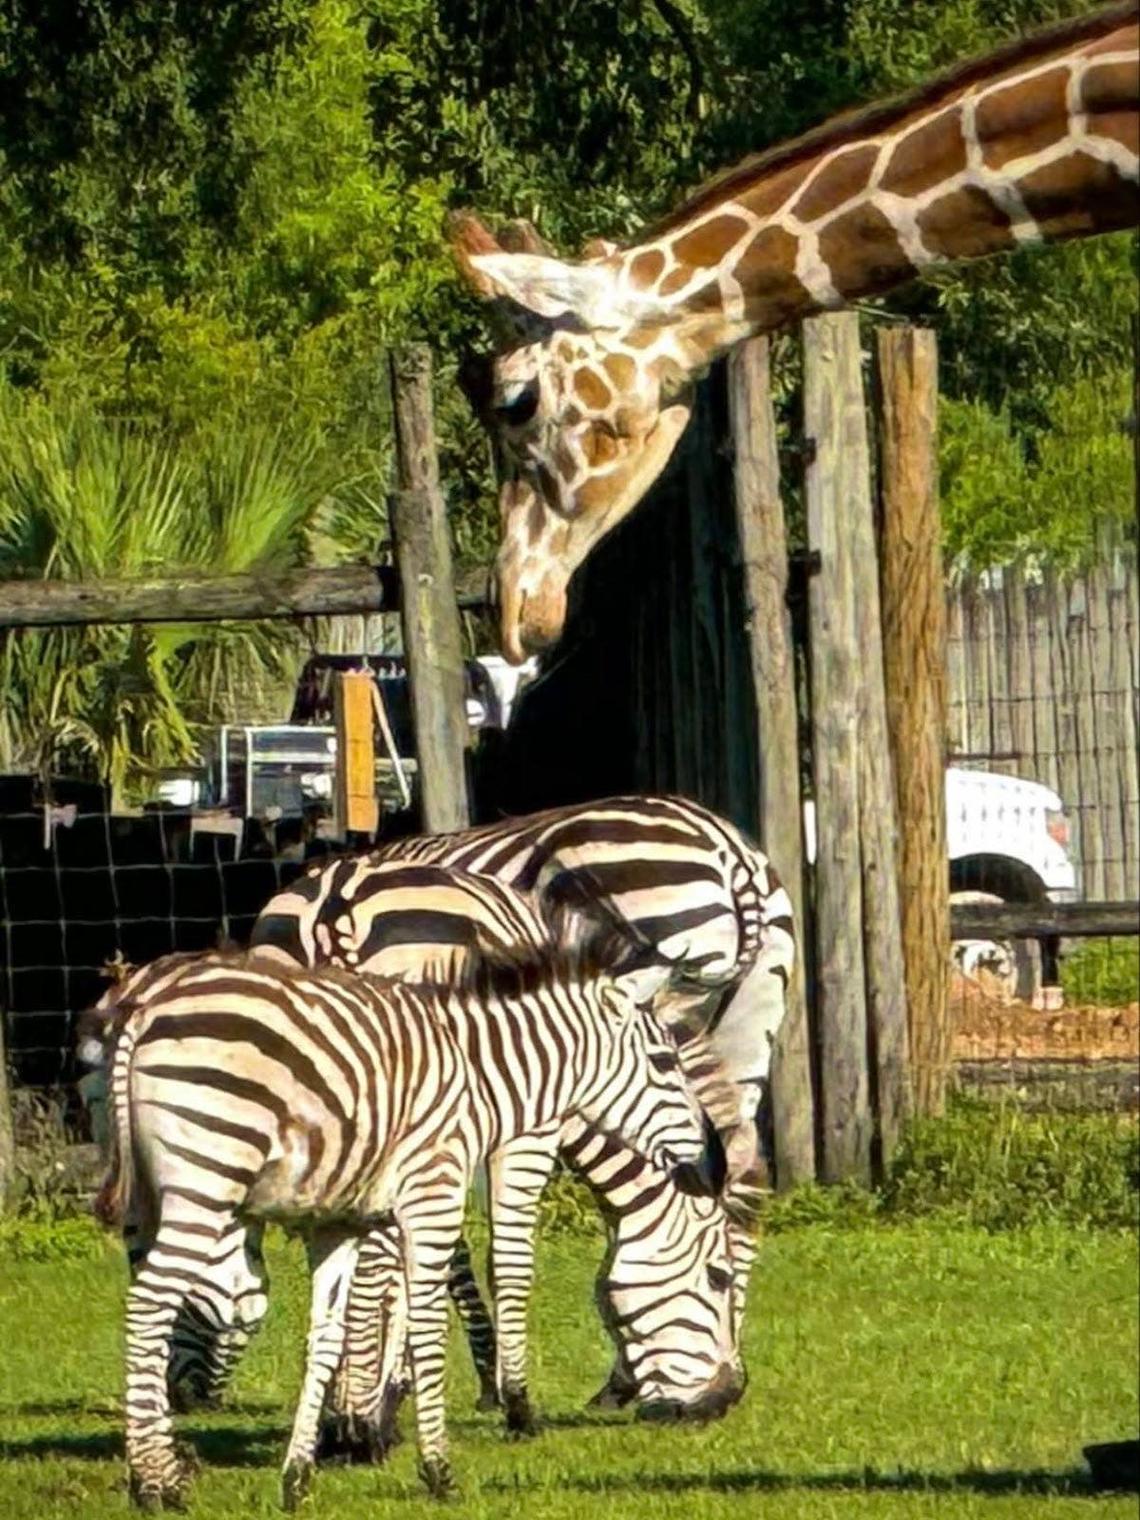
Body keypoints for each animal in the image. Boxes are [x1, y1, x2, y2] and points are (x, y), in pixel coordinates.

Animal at [94, 937, 714, 1510]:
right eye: (665, 1062)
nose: (710, 1166)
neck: (481, 1078)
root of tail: (146, 1009)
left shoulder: (338, 1223)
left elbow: (326, 1337)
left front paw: (298, 1477)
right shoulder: (431, 1196)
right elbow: (427, 1328)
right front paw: (437, 1470)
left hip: (152, 1199)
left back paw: (163, 1465)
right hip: (208, 1179)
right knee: (148, 1304)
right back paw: (155, 1483)